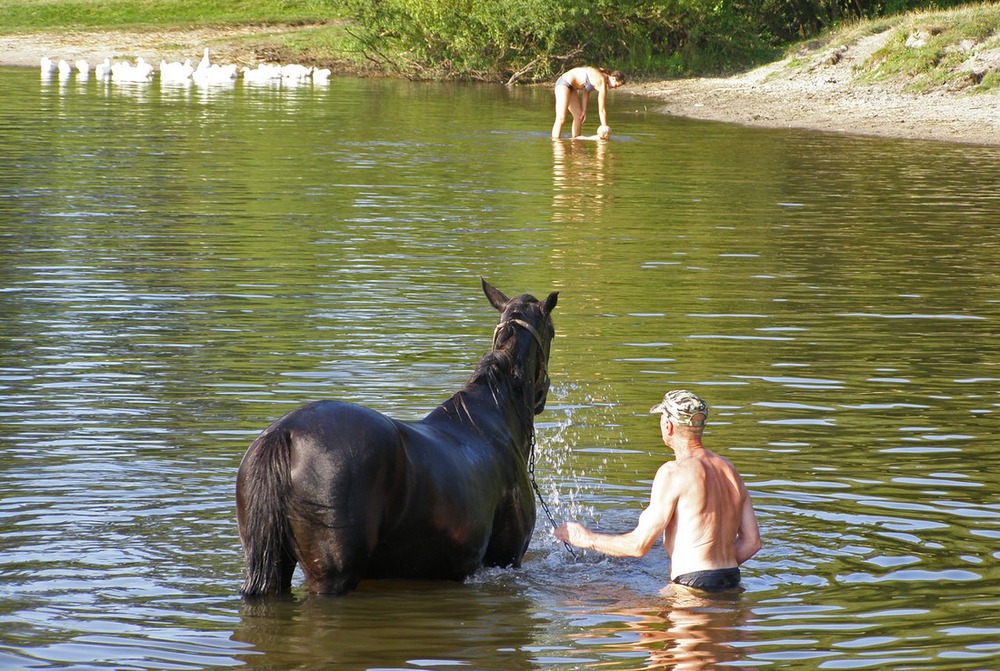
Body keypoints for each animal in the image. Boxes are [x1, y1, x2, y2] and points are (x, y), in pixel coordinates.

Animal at [237, 280, 560, 596]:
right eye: (553, 332)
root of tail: (285, 432)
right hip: (332, 578)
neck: (494, 413)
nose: (542, 395)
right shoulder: (506, 558)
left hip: (276, 565)